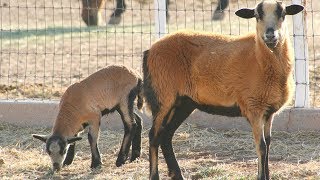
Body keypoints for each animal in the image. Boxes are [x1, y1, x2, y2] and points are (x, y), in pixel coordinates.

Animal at [142, 0, 302, 179]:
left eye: (283, 14)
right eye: (257, 15)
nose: (270, 35)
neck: (259, 59)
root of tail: (150, 50)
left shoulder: (269, 112)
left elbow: (268, 144)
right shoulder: (253, 108)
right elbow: (261, 146)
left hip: (183, 102)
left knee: (166, 135)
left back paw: (177, 174)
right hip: (163, 97)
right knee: (154, 136)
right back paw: (155, 175)